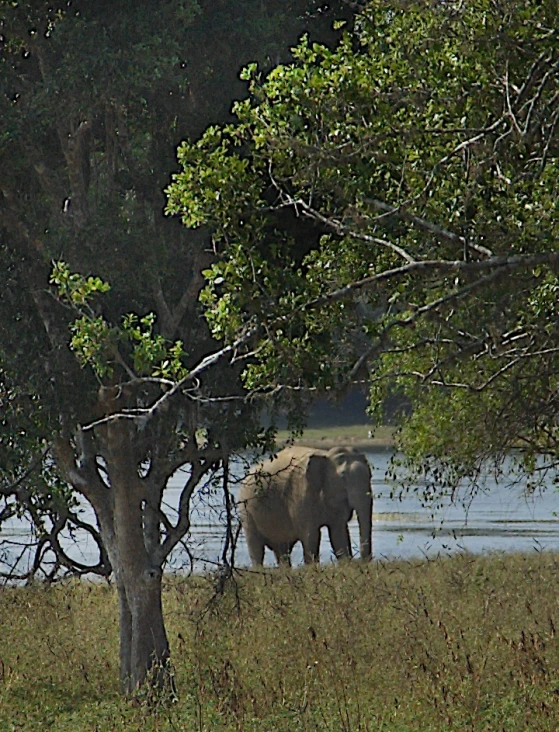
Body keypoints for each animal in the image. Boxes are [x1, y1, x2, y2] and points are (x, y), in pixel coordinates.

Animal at [236, 444, 372, 568]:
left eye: (370, 475)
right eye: (343, 476)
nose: (363, 562)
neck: (326, 454)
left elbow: (338, 533)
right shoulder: (300, 493)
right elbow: (311, 535)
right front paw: (312, 569)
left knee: (281, 550)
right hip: (246, 510)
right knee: (256, 547)